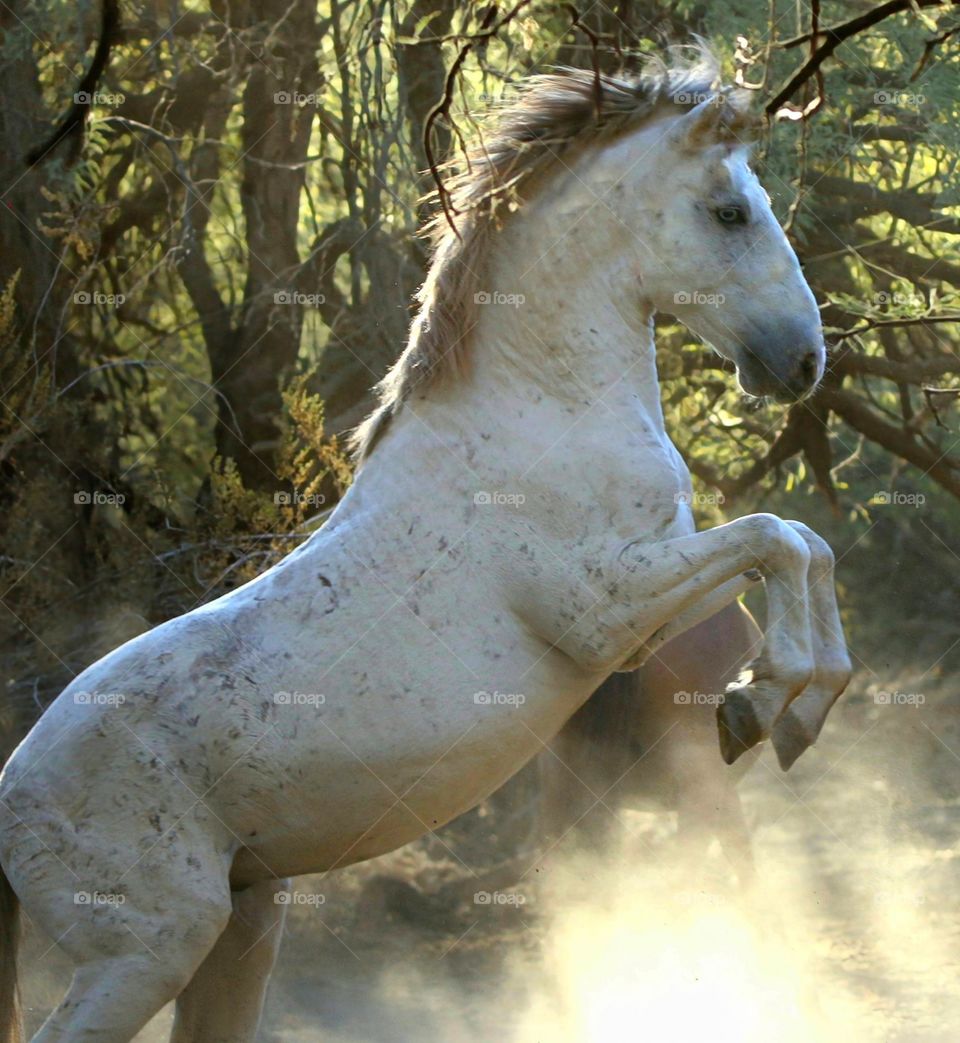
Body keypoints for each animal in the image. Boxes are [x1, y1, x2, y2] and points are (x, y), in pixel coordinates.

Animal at [0, 50, 851, 1041]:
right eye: (730, 211)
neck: (539, 406)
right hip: (144, 954)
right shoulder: (607, 612)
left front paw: (787, 712)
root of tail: (10, 798)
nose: (803, 362)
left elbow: (806, 546)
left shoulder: (659, 598)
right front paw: (760, 706)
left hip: (243, 926)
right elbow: (777, 536)